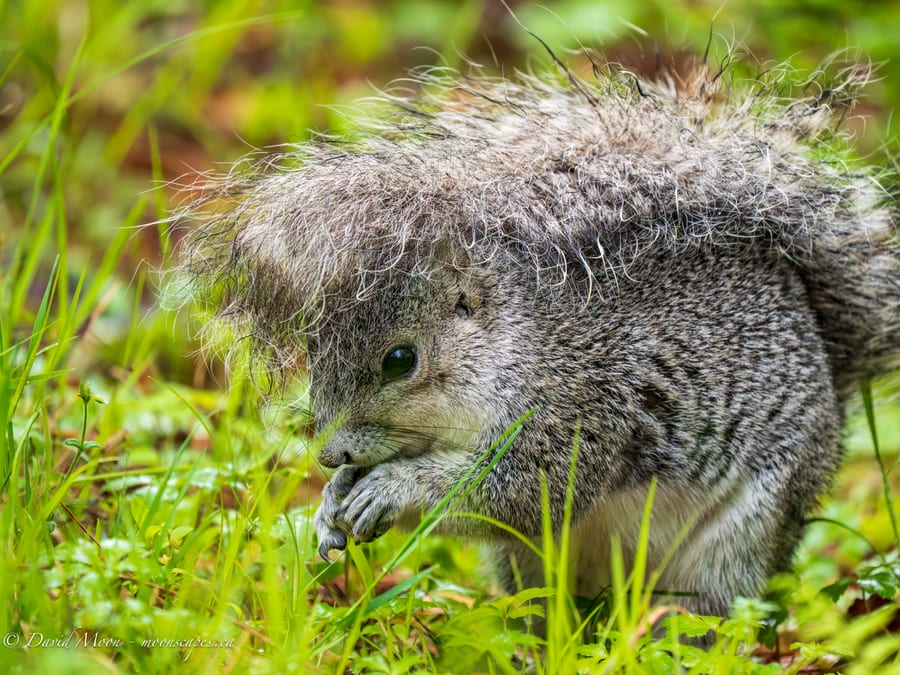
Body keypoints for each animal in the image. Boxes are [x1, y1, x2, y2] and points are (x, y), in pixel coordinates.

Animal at [179, 56, 900, 621]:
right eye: (315, 347)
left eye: (401, 359)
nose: (328, 455)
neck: (512, 348)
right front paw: (330, 507)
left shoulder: (579, 412)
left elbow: (519, 491)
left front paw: (393, 490)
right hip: (526, 564)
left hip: (743, 535)